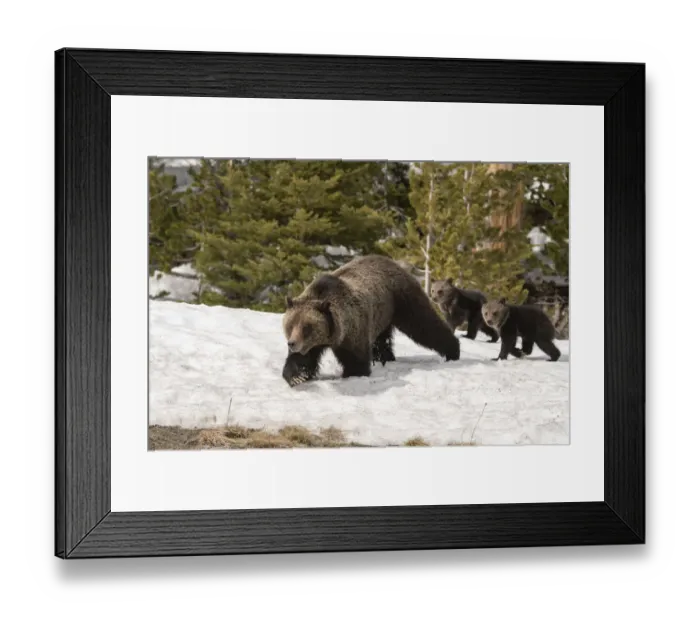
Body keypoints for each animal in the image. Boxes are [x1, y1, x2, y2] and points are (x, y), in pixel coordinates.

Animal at [282, 255, 461, 386]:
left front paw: (353, 374)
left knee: (424, 324)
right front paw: (297, 376)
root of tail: (395, 263)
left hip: (402, 299)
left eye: (307, 327)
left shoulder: (352, 331)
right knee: (382, 341)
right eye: (290, 325)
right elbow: (302, 360)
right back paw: (385, 358)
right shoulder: (313, 343)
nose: (292, 343)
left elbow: (356, 360)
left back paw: (453, 351)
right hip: (382, 315)